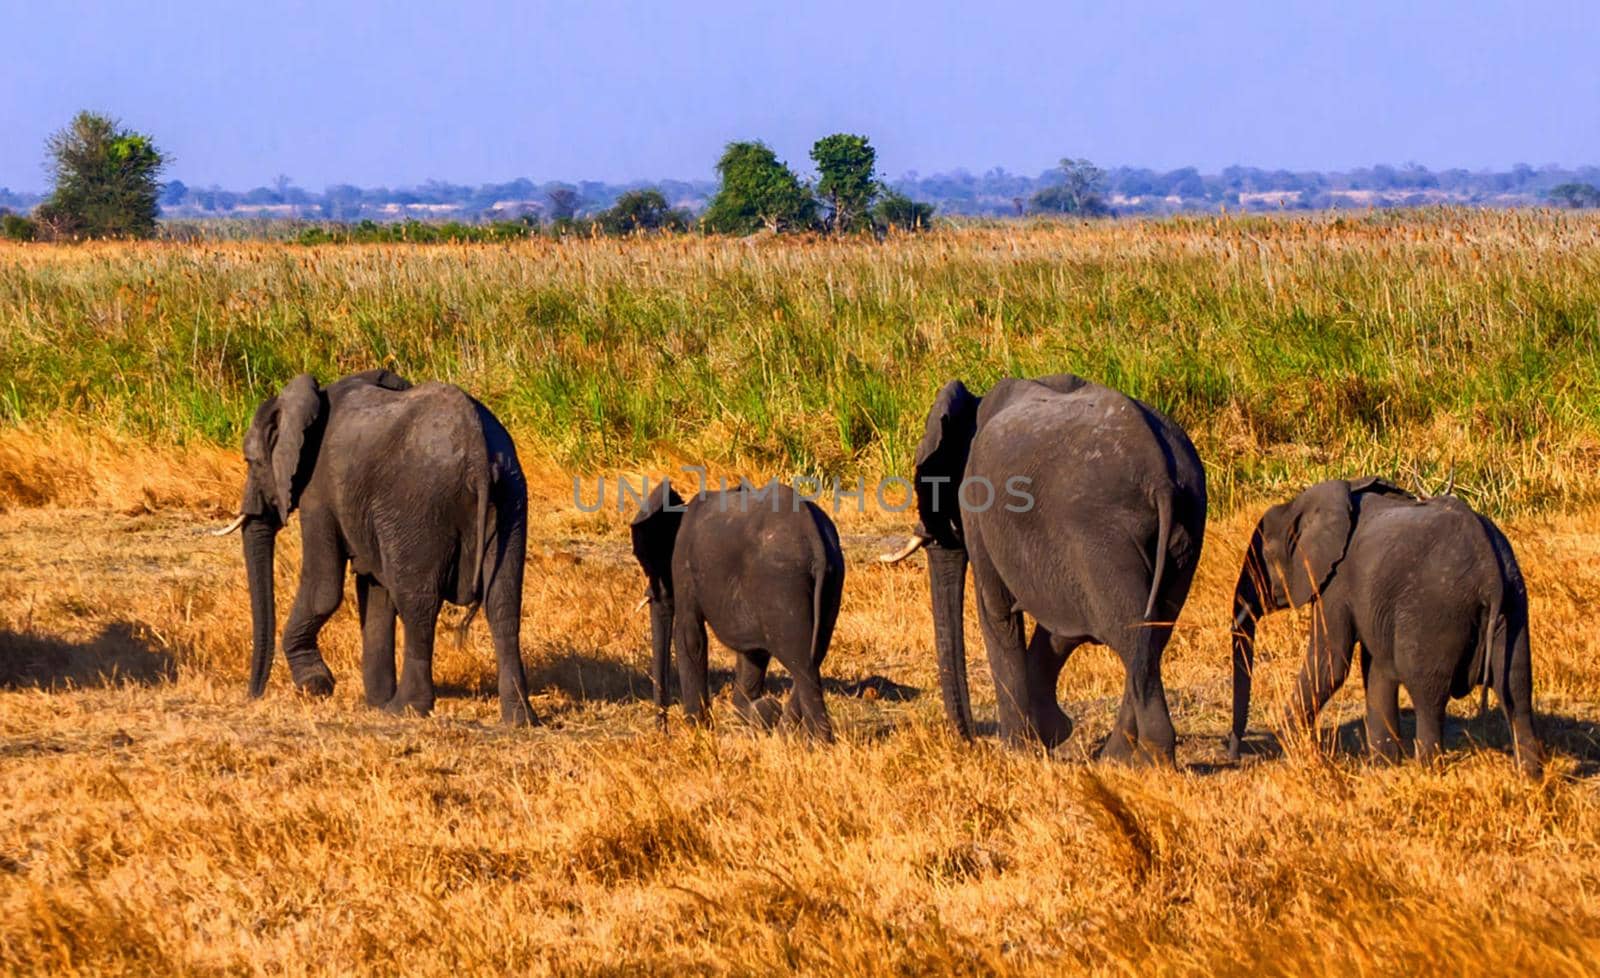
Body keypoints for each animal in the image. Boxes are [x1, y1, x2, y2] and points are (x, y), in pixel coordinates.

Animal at [209, 371, 537, 723]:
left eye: (251, 461)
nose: (253, 695)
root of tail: (476, 449)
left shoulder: (318, 489)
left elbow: (324, 589)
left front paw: (316, 684)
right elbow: (375, 590)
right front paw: (372, 700)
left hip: (418, 505)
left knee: (418, 604)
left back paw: (404, 709)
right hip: (511, 499)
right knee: (502, 603)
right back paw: (518, 719)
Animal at [627, 476, 844, 739]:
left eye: (648, 559)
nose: (664, 732)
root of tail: (815, 539)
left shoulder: (683, 563)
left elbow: (689, 637)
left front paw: (698, 732)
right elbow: (753, 654)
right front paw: (748, 717)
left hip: (783, 583)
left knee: (801, 662)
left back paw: (816, 742)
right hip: (831, 578)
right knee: (815, 652)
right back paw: (784, 733)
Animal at [883, 374, 1203, 765]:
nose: (973, 741)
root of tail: (1161, 476)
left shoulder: (976, 502)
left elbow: (997, 611)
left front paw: (1017, 749)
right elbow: (1059, 627)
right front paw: (1050, 734)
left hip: (1100, 533)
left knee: (1129, 630)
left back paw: (1145, 759)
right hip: (1186, 528)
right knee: (1155, 628)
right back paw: (1117, 757)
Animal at [1222, 476, 1536, 777]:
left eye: (1263, 556)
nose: (1234, 756)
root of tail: (1490, 570)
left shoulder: (1336, 581)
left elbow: (1330, 661)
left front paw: (1288, 743)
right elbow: (1376, 668)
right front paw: (1382, 765)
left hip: (1436, 612)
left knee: (1428, 694)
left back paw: (1427, 772)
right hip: (1513, 607)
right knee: (1517, 689)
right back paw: (1530, 776)